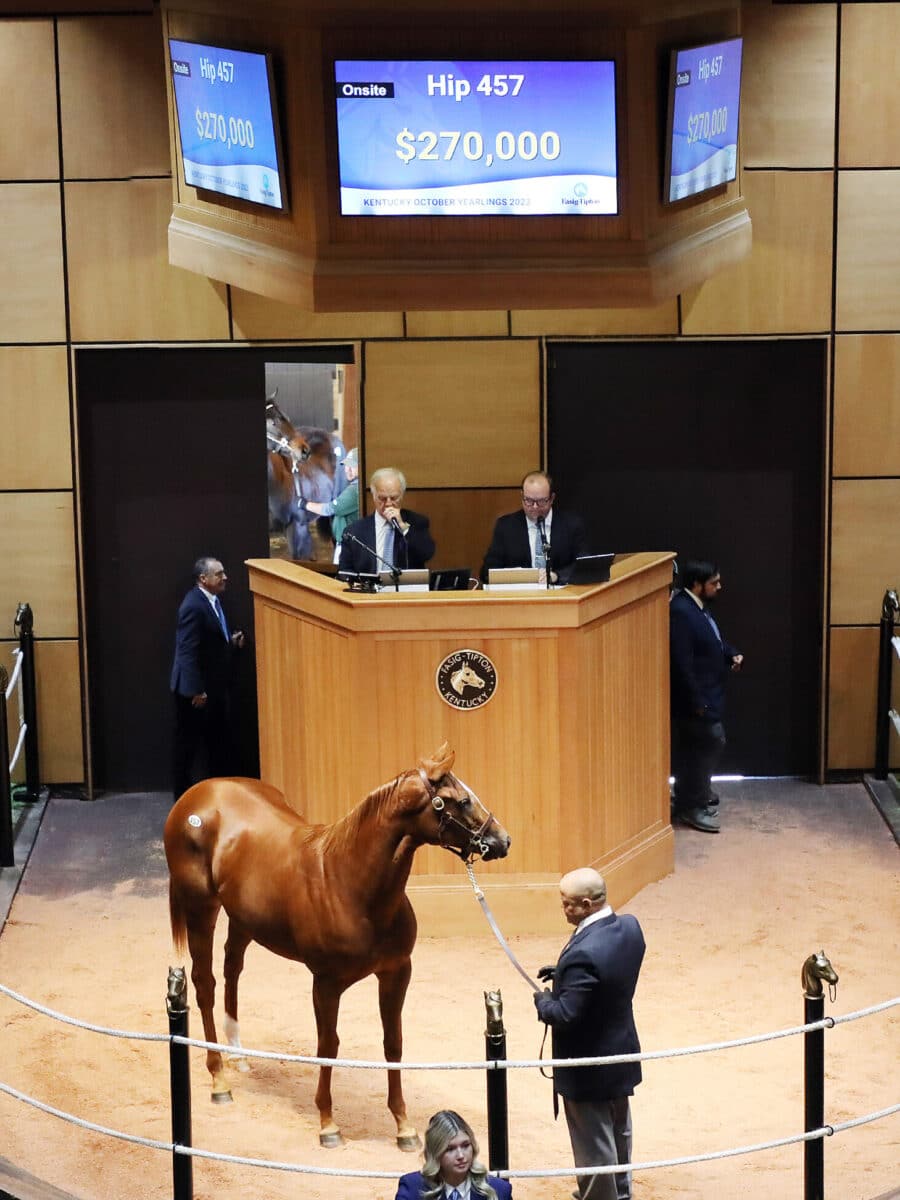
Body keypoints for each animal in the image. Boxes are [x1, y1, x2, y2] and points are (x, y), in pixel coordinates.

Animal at [164, 744, 511, 1147]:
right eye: (462, 800)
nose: (503, 840)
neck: (349, 884)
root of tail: (199, 793)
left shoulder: (396, 973)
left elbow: (393, 1042)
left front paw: (403, 1126)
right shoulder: (326, 983)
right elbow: (328, 1046)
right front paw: (328, 1123)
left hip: (243, 918)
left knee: (231, 968)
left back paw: (237, 1053)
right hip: (200, 908)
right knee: (204, 983)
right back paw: (219, 1079)